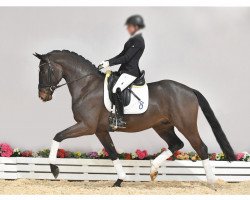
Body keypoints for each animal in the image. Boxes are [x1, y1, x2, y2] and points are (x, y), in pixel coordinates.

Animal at [34, 50, 235, 188]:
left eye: (43, 70)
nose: (43, 96)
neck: (86, 87)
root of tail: (189, 90)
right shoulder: (100, 130)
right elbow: (112, 152)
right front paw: (120, 180)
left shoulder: (87, 126)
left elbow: (58, 136)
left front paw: (54, 170)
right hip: (162, 126)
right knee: (176, 144)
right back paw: (153, 170)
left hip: (186, 125)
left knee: (201, 147)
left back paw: (211, 182)